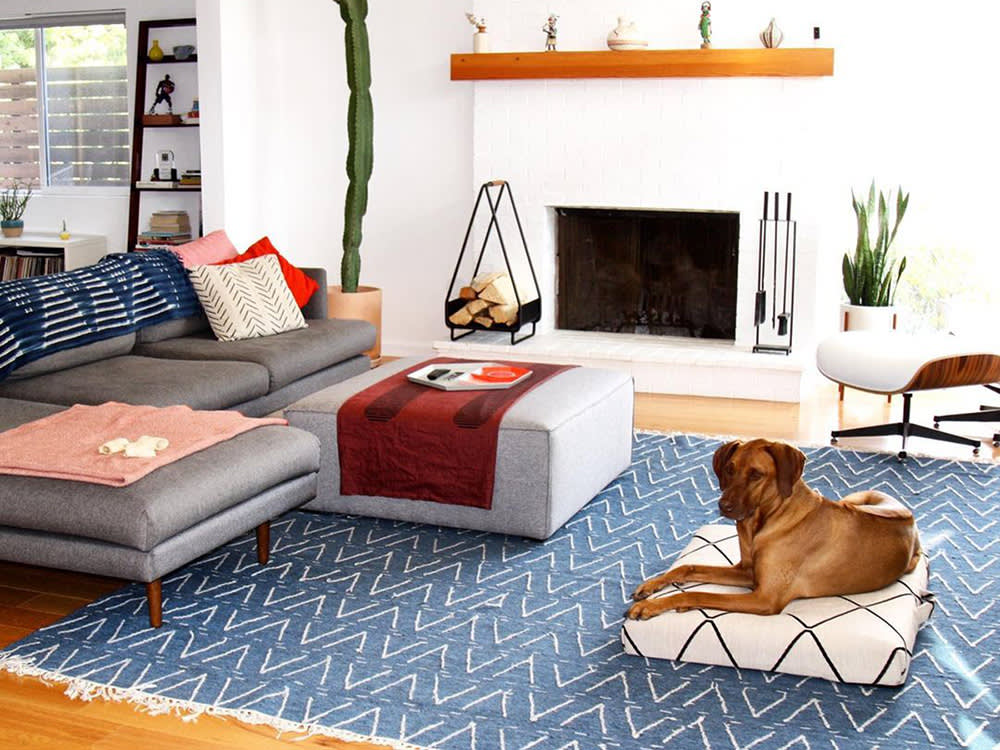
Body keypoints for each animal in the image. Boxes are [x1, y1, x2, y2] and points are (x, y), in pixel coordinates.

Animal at [628, 438, 916, 620]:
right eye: (729, 469)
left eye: (756, 474)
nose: (724, 506)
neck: (763, 522)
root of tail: (910, 517)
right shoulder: (747, 571)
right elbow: (688, 567)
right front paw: (651, 585)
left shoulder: (764, 598)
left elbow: (698, 592)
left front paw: (651, 606)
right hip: (852, 499)